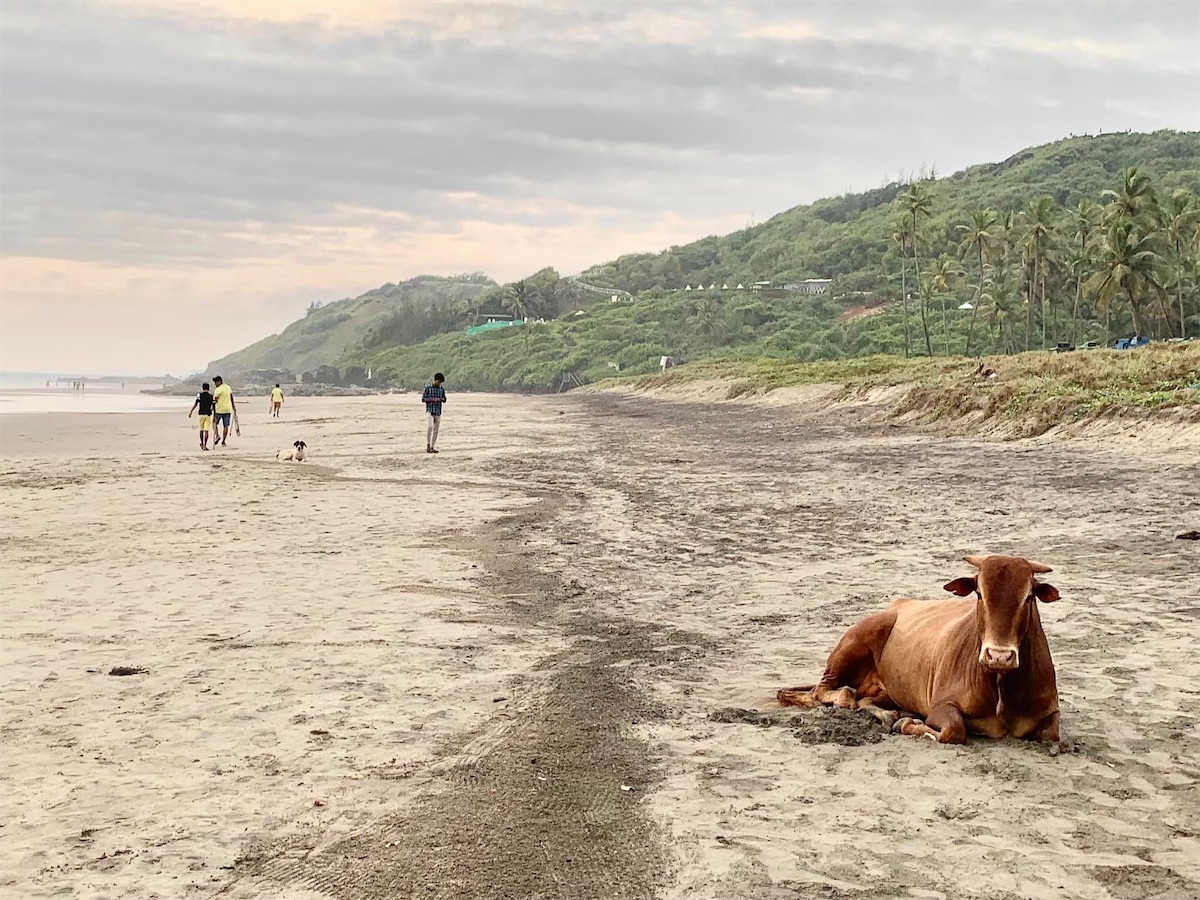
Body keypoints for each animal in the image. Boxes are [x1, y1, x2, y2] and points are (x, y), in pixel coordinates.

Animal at [782, 556, 1065, 748]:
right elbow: (953, 730)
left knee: (861, 700)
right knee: (823, 692)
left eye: (1028, 597)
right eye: (979, 593)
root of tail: (896, 606)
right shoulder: (940, 706)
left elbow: (1050, 735)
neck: (1000, 683)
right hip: (854, 644)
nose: (999, 656)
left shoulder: (1051, 711)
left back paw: (886, 714)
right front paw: (909, 724)